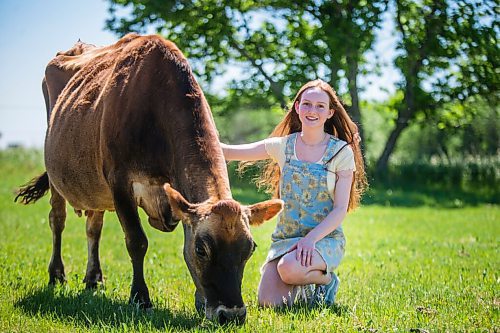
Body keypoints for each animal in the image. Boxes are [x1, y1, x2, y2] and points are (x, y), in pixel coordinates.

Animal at [15, 34, 282, 324]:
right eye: (202, 250)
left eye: (250, 248)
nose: (231, 314)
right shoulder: (119, 182)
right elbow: (137, 241)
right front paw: (140, 297)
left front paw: (200, 302)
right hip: (56, 176)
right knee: (57, 220)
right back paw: (57, 274)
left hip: (93, 183)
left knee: (93, 227)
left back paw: (93, 278)